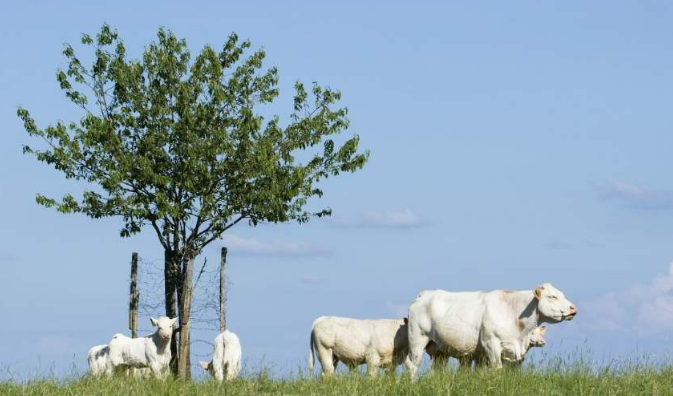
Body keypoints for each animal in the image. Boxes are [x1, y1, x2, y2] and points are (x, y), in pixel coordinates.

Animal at [402, 284, 576, 378]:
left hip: (439, 350)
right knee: (412, 363)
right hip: (417, 337)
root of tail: (425, 294)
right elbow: (497, 369)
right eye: (552, 296)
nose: (573, 308)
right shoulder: (491, 343)